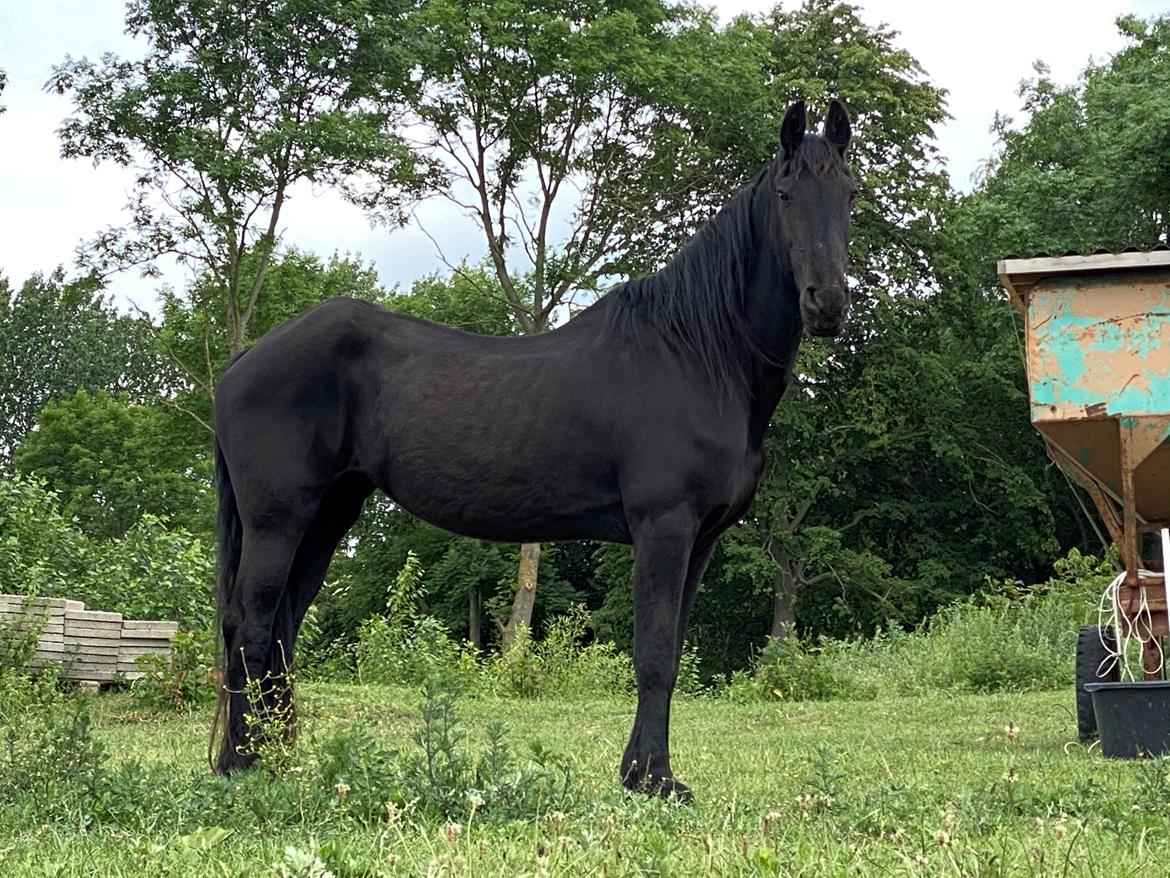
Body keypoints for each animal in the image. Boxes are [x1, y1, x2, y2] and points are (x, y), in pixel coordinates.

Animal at [210, 99, 856, 800]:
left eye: (850, 193)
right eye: (787, 194)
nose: (827, 303)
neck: (696, 355)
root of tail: (245, 362)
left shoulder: (701, 540)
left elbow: (674, 652)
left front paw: (645, 773)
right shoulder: (664, 529)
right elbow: (654, 655)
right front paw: (652, 781)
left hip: (328, 516)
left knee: (281, 628)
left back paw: (276, 757)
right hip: (278, 520)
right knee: (250, 625)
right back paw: (241, 764)